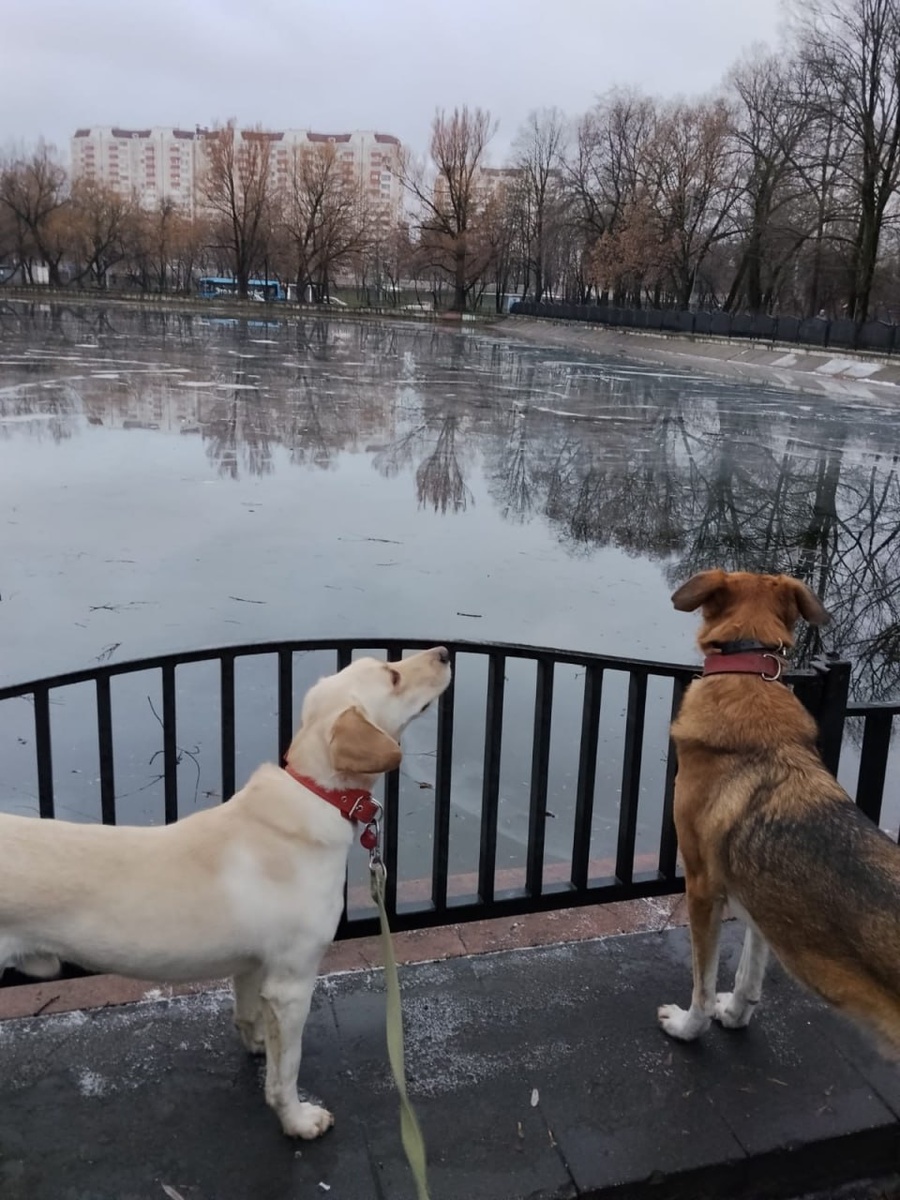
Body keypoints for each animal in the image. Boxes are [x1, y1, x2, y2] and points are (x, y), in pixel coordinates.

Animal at [0, 647, 451, 1137]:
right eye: (392, 677)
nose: (445, 653)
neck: (317, 794)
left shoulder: (254, 966)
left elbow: (249, 1016)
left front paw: (258, 1045)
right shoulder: (293, 983)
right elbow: (287, 1069)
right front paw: (297, 1120)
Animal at [658, 569, 900, 1054]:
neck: (747, 671)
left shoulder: (702, 886)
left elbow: (702, 987)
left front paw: (689, 1028)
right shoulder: (756, 894)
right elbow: (750, 971)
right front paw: (735, 1015)